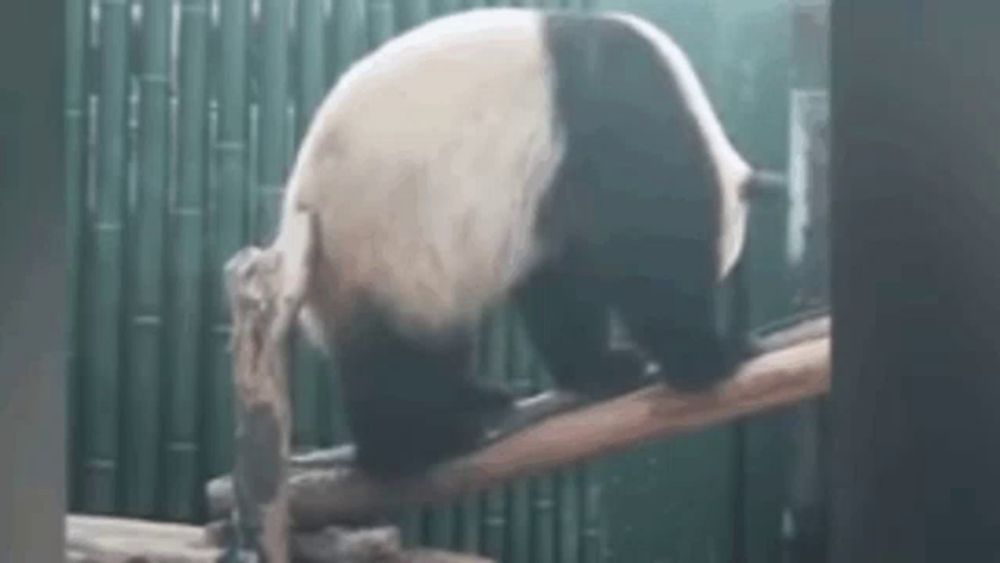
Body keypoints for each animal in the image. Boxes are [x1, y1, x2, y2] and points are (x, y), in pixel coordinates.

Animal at [272, 6, 780, 478]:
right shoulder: (621, 130)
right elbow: (649, 265)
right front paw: (711, 358)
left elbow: (559, 284)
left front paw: (607, 368)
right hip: (383, 246)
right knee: (397, 361)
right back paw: (426, 444)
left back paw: (473, 403)